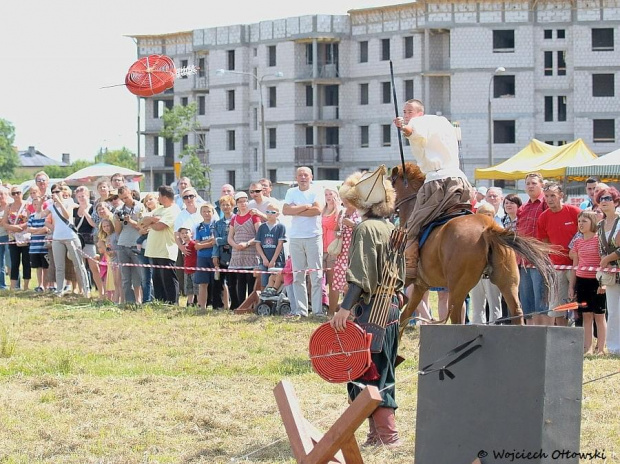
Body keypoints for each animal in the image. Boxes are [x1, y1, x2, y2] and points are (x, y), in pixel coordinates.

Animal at [390, 163, 556, 330]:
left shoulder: (411, 284)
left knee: (457, 318)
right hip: (508, 283)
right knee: (517, 311)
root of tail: (488, 227)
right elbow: (403, 317)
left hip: (457, 290)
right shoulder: (420, 286)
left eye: (391, 183)